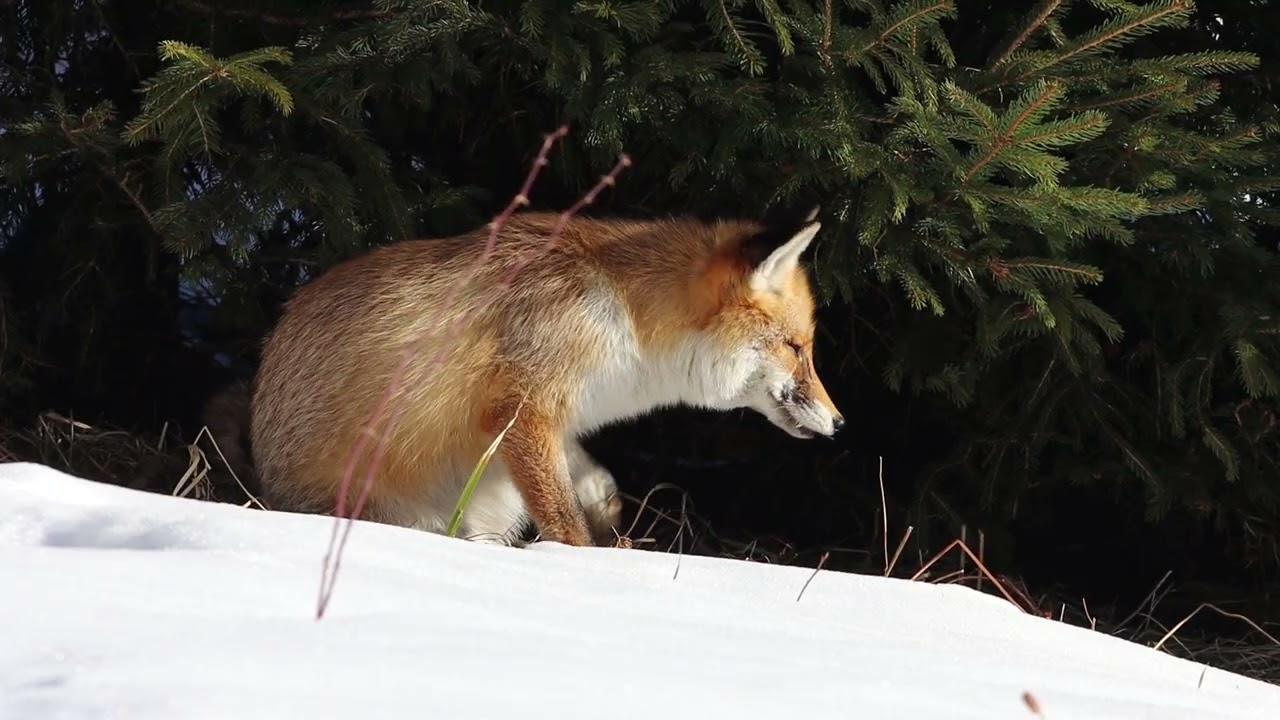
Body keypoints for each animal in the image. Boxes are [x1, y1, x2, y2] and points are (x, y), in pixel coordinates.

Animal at [204, 206, 844, 548]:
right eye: (797, 348)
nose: (841, 424)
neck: (625, 318)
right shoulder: (522, 407)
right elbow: (563, 522)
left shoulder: (557, 422)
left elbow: (596, 481)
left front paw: (609, 519)